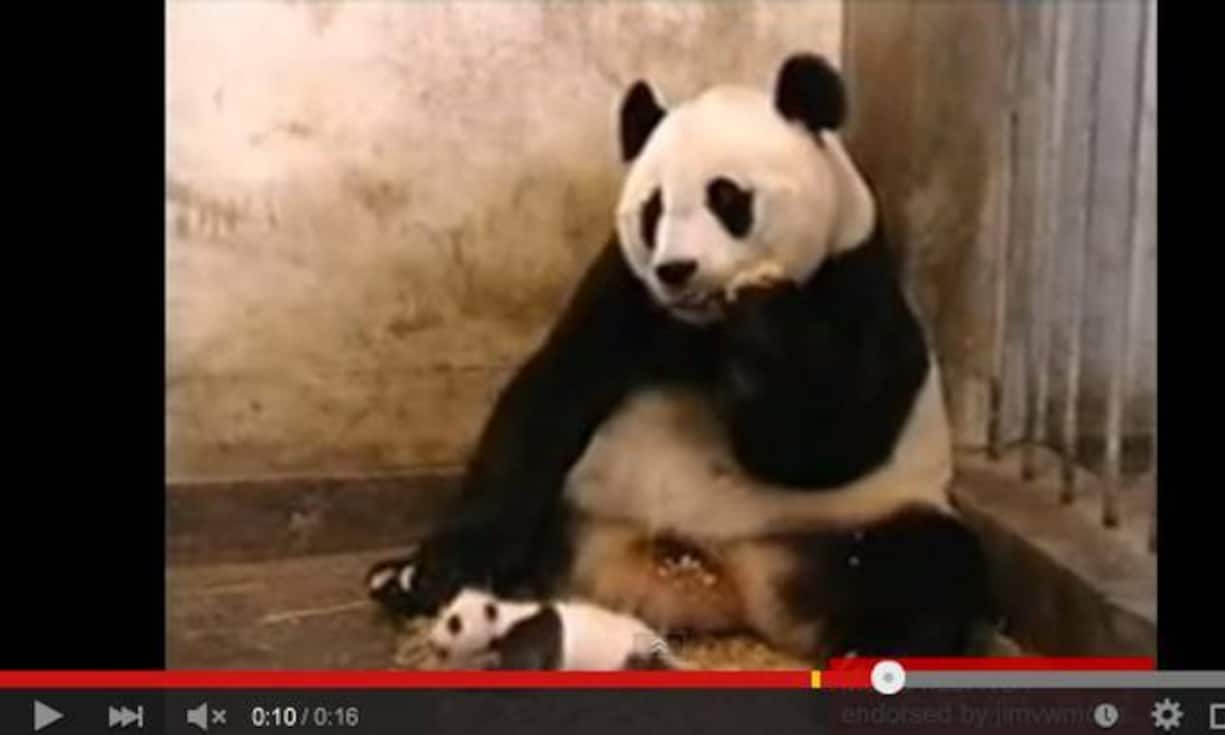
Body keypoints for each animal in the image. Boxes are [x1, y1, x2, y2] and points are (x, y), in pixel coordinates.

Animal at [369, 52, 993, 664]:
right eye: (654, 208)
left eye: (728, 198)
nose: (677, 270)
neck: (704, 326)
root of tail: (713, 582)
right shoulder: (625, 289)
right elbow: (551, 395)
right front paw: (438, 570)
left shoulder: (854, 283)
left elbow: (826, 443)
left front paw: (762, 321)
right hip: (583, 503)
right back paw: (400, 581)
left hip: (848, 525)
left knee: (927, 563)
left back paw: (882, 648)